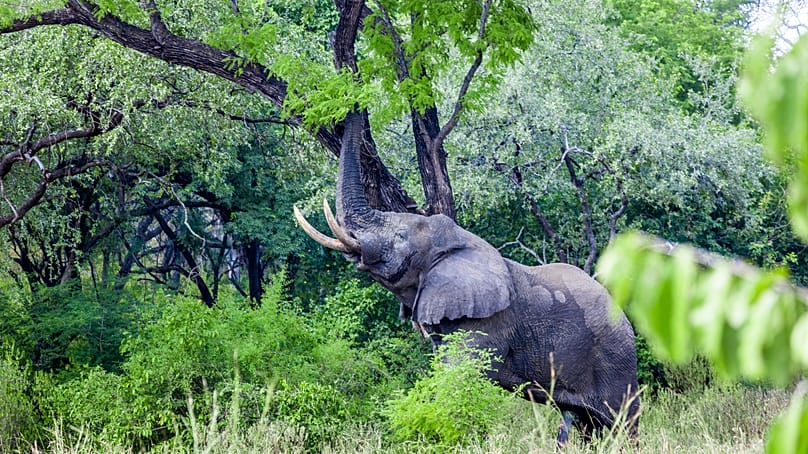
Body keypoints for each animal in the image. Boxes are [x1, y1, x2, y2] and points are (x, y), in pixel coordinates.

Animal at [294, 110, 640, 444]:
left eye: (401, 237)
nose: (353, 107)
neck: (459, 245)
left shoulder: (487, 323)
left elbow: (460, 378)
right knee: (582, 422)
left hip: (614, 359)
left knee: (622, 421)